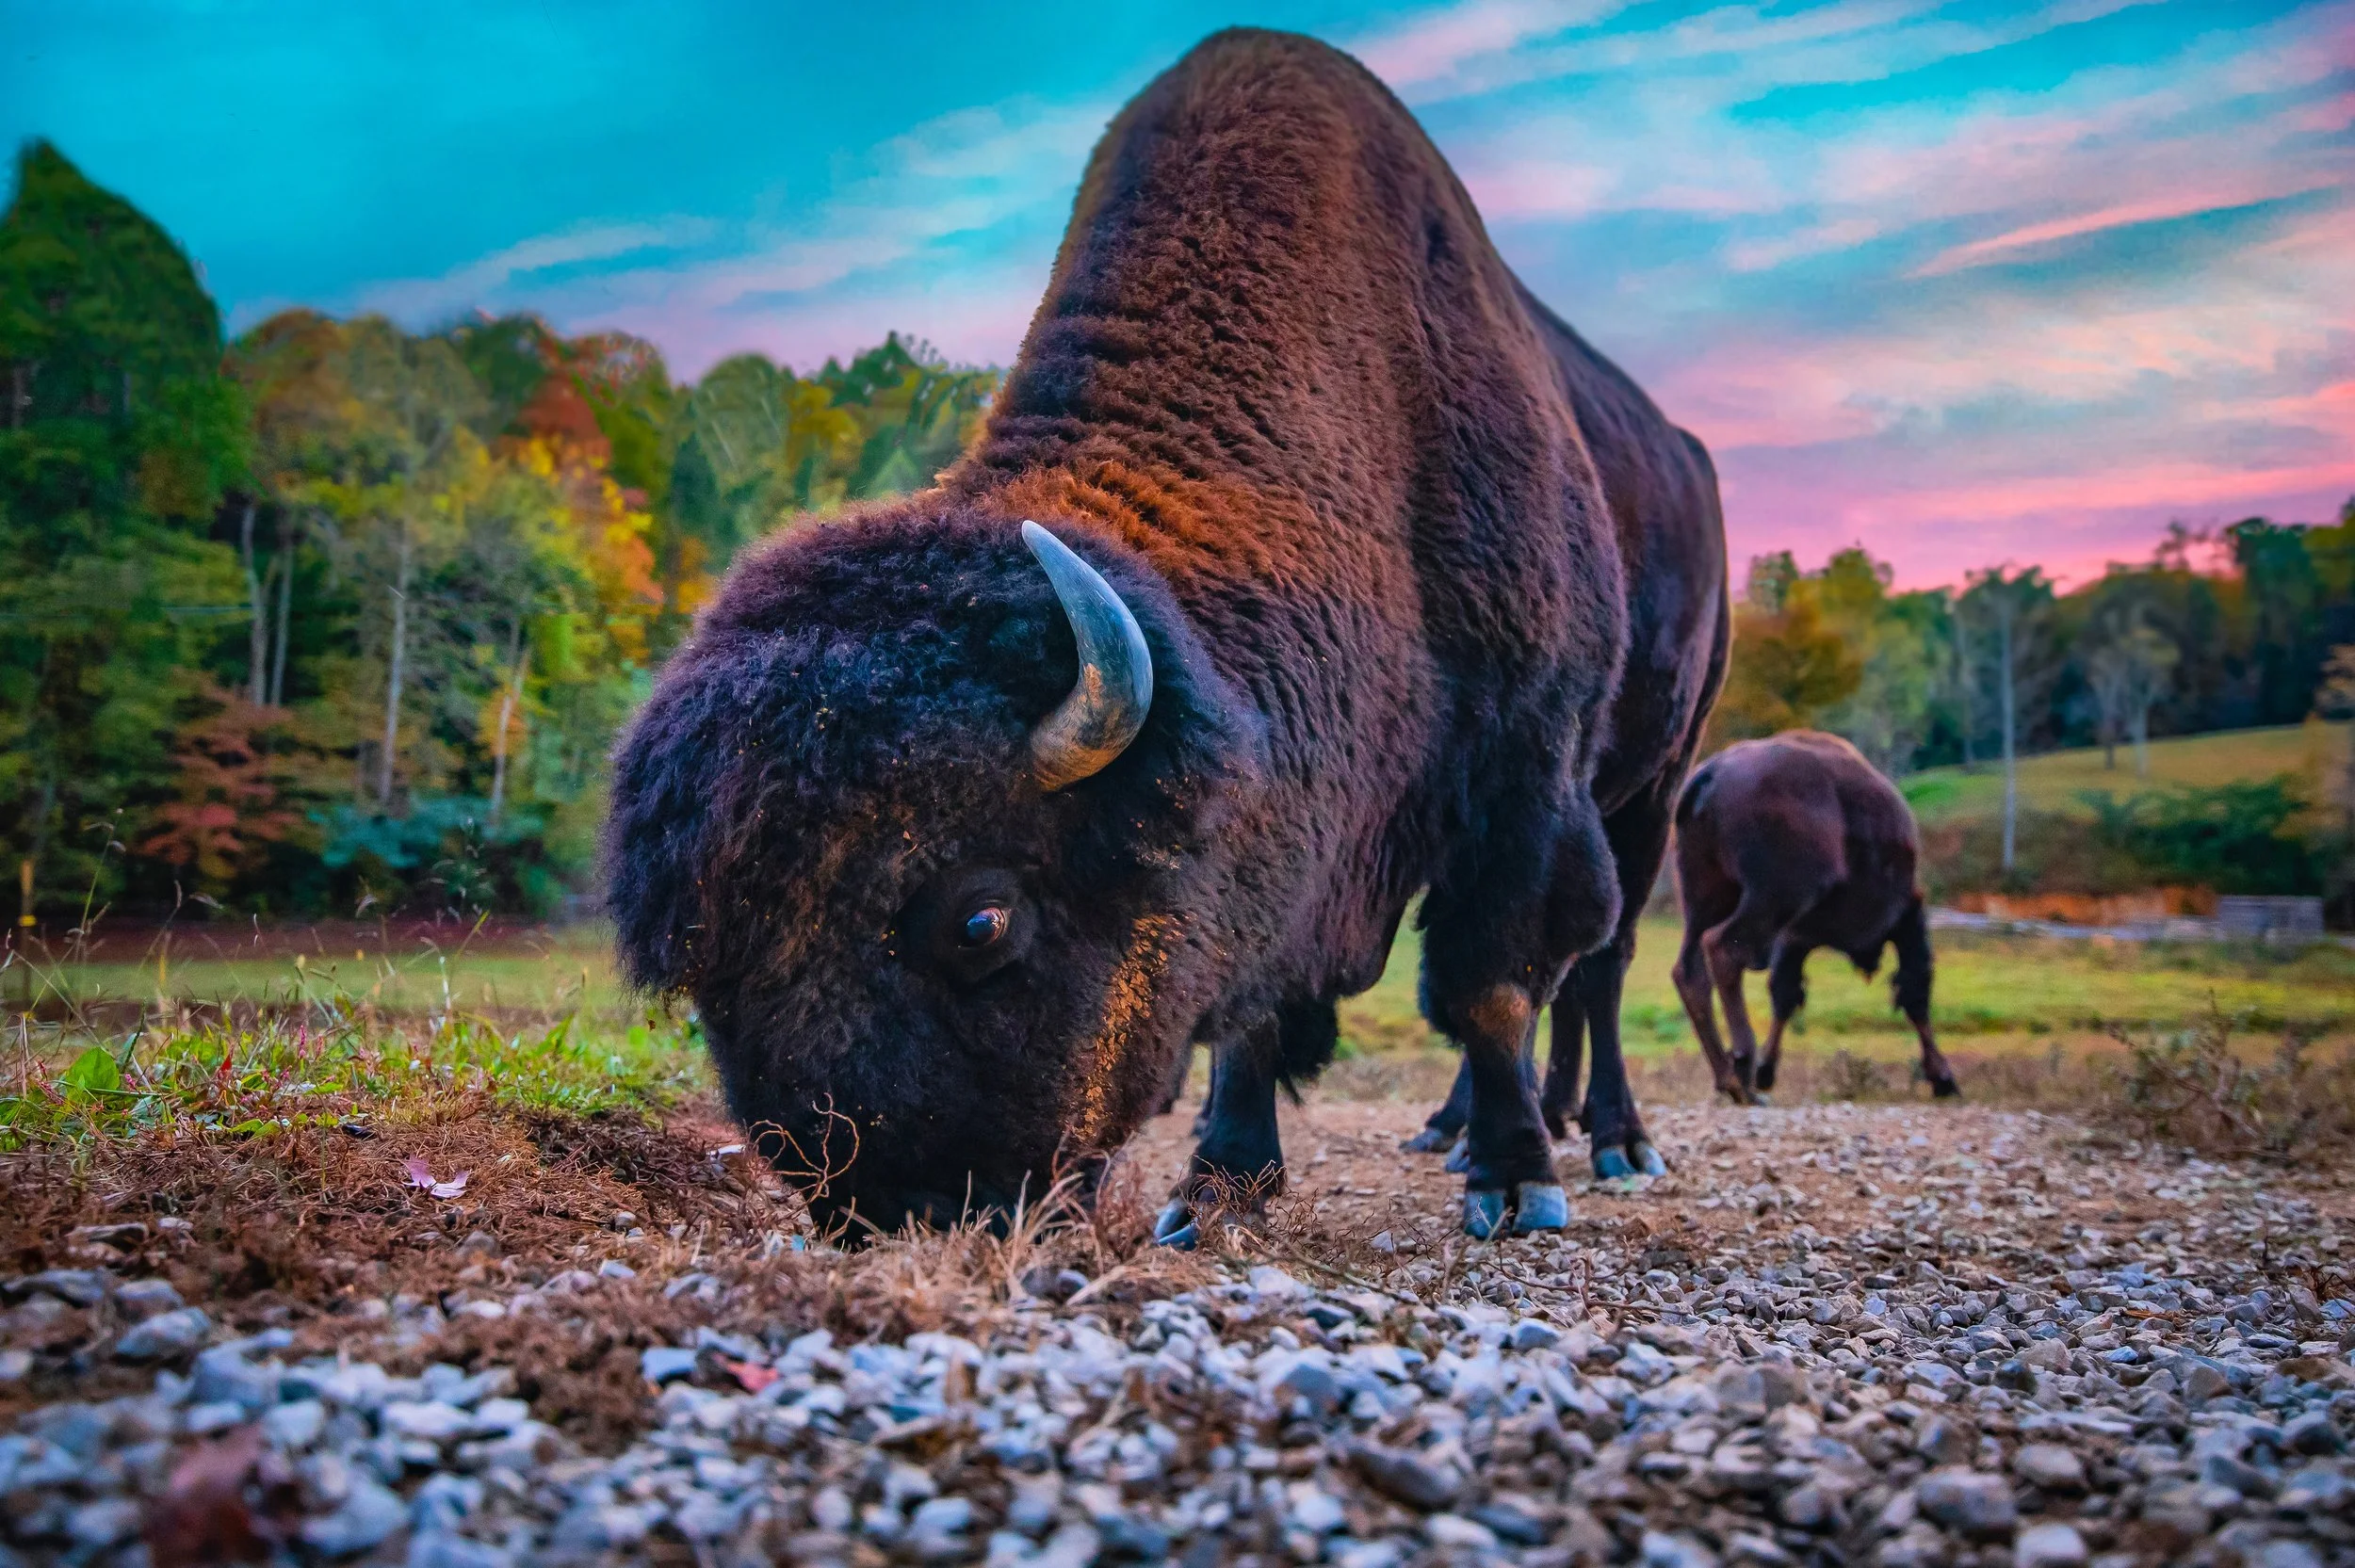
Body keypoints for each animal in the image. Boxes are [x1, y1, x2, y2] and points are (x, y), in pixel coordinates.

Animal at [605, 28, 1728, 1241]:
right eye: (707, 976)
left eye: (980, 922)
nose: (901, 1214)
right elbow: (1256, 1007)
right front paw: (1219, 1184)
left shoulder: (1528, 771)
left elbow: (1491, 985)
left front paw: (1517, 1185)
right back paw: (1451, 1131)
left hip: (1651, 788)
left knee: (1599, 968)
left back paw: (1607, 1142)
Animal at [1668, 730, 1960, 1104]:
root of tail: (1710, 775)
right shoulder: (1906, 915)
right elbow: (1914, 990)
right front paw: (1943, 1078)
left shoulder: (1795, 937)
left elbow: (1785, 993)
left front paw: (1767, 1069)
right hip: (1772, 899)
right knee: (1724, 948)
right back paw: (1743, 1072)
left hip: (1704, 898)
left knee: (1690, 970)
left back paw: (1728, 1078)